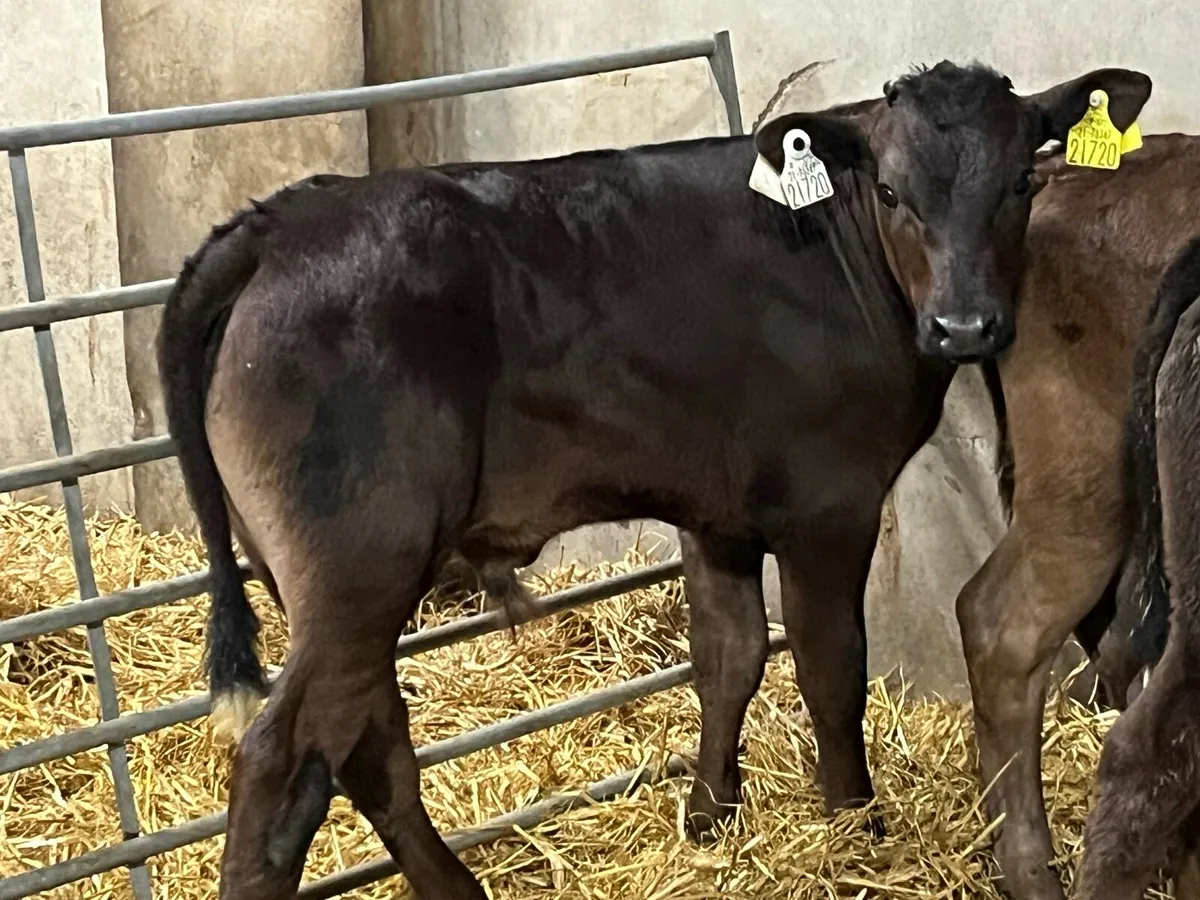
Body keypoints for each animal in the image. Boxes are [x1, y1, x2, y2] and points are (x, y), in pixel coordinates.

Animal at [157, 62, 1150, 899]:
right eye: (894, 191)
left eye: (1023, 182)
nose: (966, 325)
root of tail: (280, 223)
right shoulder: (829, 502)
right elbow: (831, 666)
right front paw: (855, 828)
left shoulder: (716, 509)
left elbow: (729, 657)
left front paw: (710, 815)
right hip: (360, 562)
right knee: (283, 765)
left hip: (321, 580)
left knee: (368, 742)